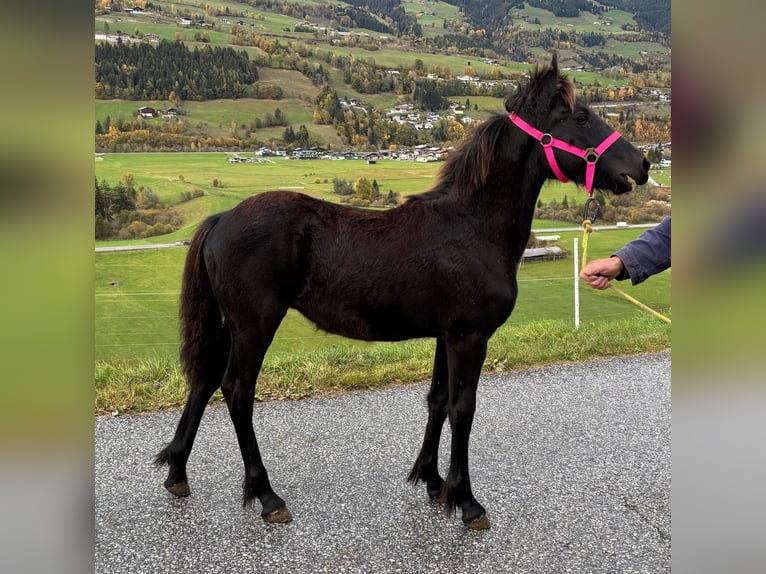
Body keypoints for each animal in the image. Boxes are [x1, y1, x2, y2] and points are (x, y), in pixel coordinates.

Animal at [154, 55, 650, 530]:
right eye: (581, 116)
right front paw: (466, 501)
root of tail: (222, 218)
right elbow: (463, 409)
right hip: (255, 325)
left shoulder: (445, 336)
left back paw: (177, 472)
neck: (472, 225)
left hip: (231, 324)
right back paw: (266, 495)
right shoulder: (469, 338)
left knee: (203, 382)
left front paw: (432, 481)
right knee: (236, 393)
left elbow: (438, 402)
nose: (641, 166)